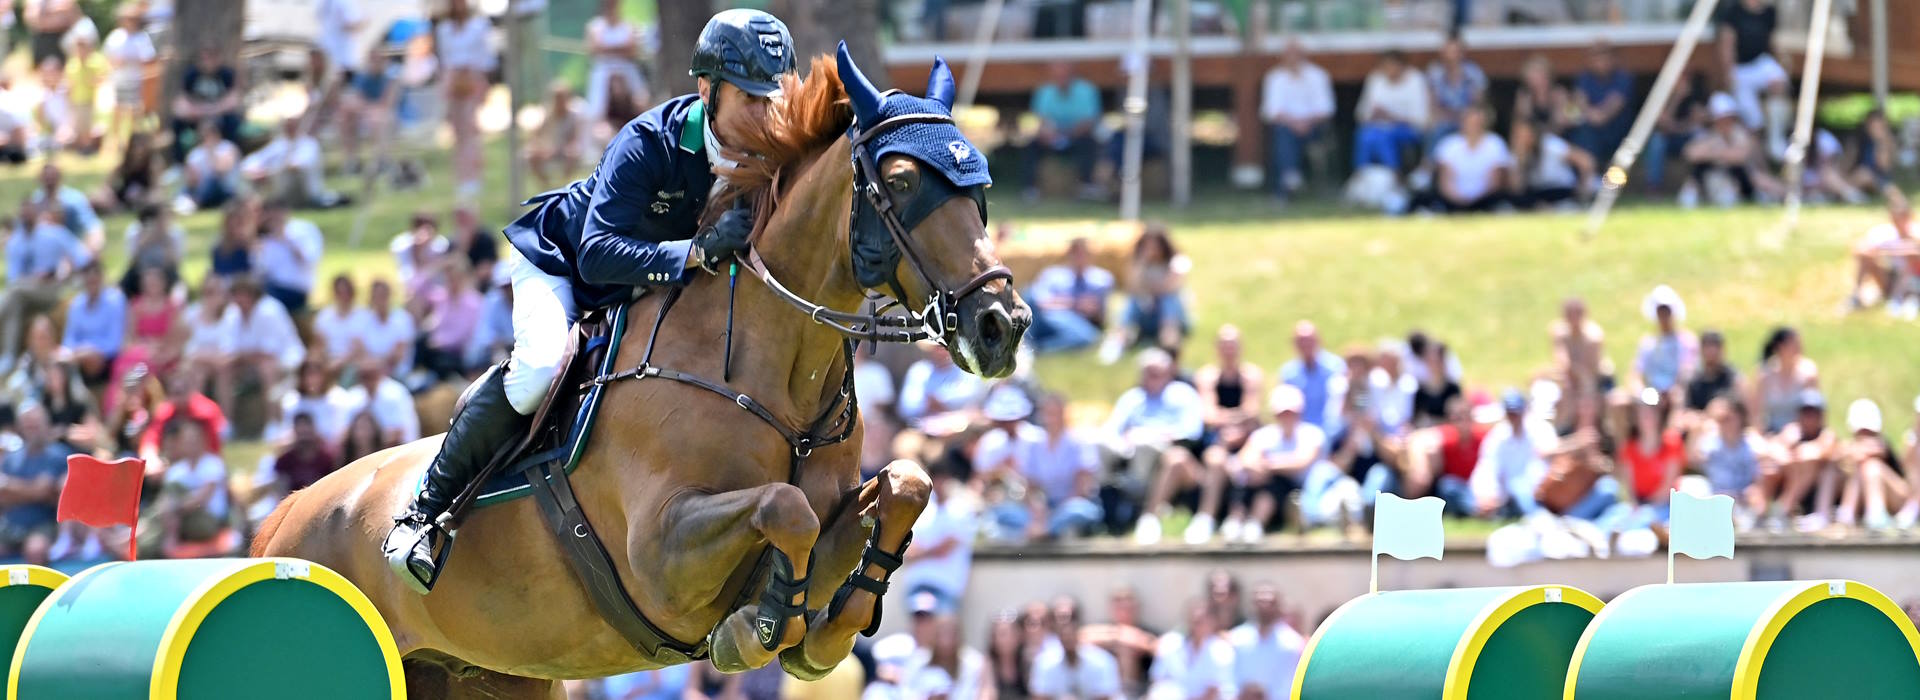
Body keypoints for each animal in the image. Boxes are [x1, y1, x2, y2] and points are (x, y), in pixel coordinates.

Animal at [261, 46, 1036, 694]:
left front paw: (821, 635)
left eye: (980, 181)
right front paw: (752, 631)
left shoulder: (837, 509)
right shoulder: (662, 555)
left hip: (485, 675)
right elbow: (783, 506)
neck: (772, 377)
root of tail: (278, 520)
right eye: (900, 182)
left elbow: (904, 485)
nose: (1001, 325)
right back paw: (415, 533)